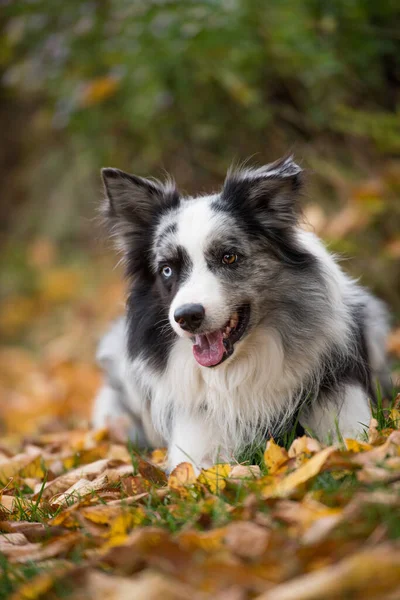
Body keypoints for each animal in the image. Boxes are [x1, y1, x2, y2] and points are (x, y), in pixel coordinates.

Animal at [92, 156, 390, 474]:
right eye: (167, 269)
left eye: (229, 257)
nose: (187, 317)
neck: (236, 369)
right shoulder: (197, 444)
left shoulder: (345, 418)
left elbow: (349, 445)